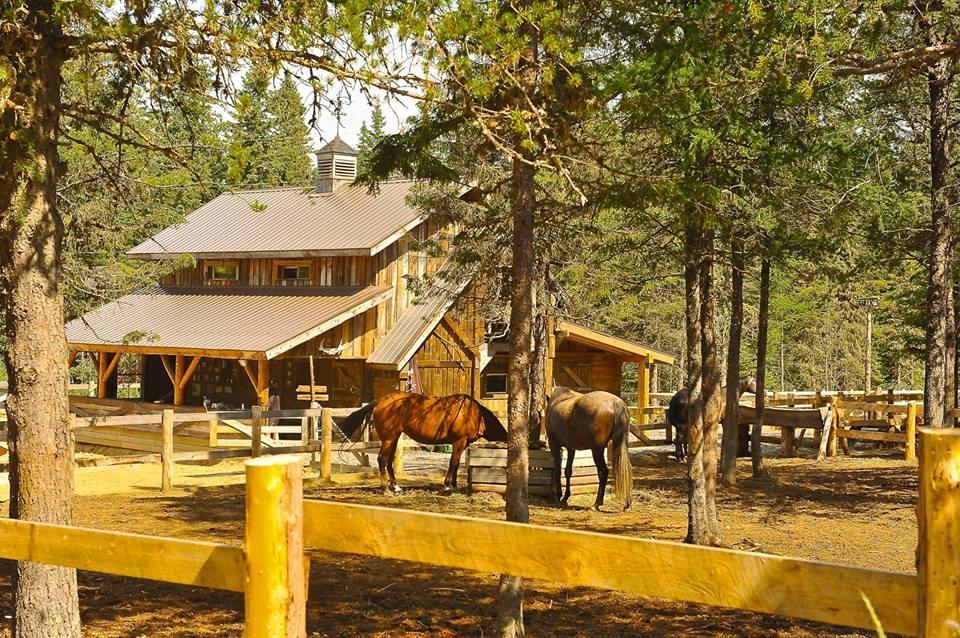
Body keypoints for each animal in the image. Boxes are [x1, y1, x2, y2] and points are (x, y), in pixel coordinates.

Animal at [338, 390, 506, 496]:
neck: (474, 414)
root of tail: (380, 401)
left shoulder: (462, 444)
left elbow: (457, 465)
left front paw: (454, 485)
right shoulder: (459, 442)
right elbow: (453, 463)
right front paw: (447, 485)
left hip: (394, 437)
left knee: (389, 461)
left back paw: (396, 486)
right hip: (389, 438)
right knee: (382, 459)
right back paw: (385, 488)